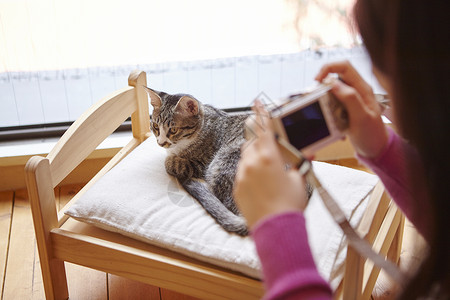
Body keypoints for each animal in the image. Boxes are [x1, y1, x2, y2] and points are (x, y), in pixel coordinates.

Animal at [144, 86, 250, 237]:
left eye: (173, 130)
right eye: (156, 126)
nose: (161, 143)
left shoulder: (203, 163)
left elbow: (173, 163)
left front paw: (170, 160)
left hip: (222, 161)